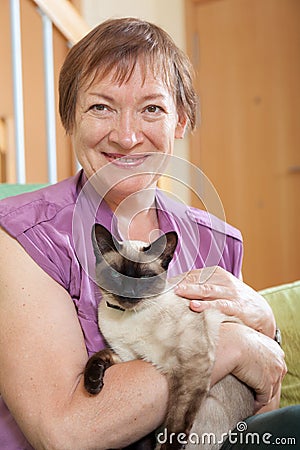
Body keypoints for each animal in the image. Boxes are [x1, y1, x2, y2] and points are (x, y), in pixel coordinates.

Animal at [84, 225, 253, 450]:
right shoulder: (128, 357)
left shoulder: (190, 364)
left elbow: (176, 424)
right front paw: (92, 385)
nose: (128, 292)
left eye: (143, 278)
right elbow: (99, 356)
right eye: (116, 275)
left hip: (207, 409)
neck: (128, 318)